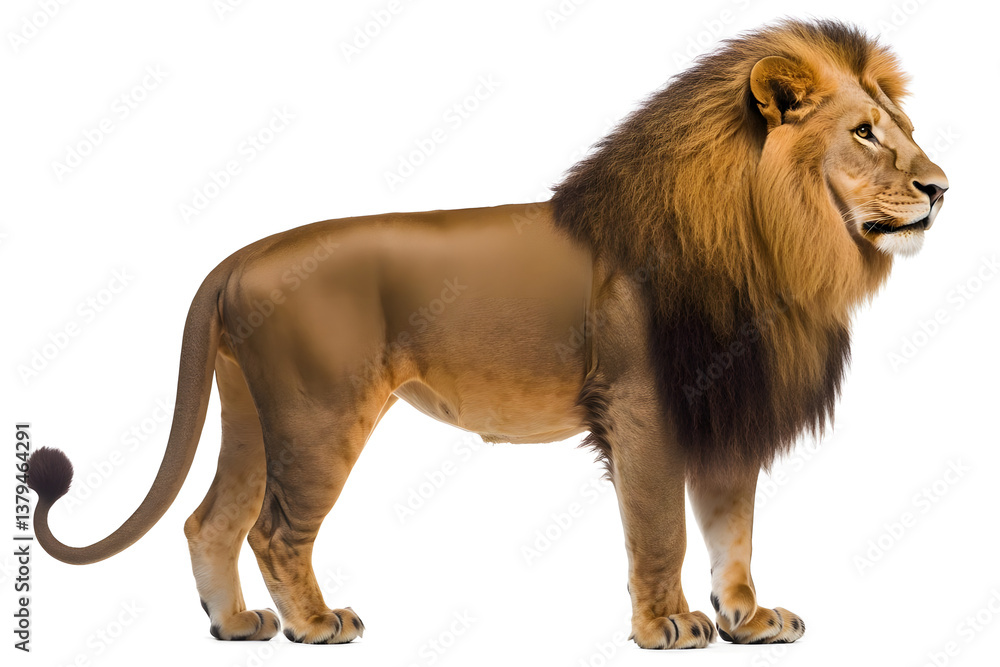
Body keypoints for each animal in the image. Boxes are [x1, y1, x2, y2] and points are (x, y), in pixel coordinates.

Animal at [28, 19, 947, 649]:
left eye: (900, 126)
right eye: (866, 132)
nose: (942, 185)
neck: (775, 246)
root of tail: (237, 256)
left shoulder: (727, 402)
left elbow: (734, 527)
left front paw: (747, 619)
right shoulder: (643, 407)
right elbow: (662, 526)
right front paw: (669, 624)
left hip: (253, 412)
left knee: (210, 520)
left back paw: (237, 624)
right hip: (318, 413)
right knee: (272, 527)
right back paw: (316, 622)